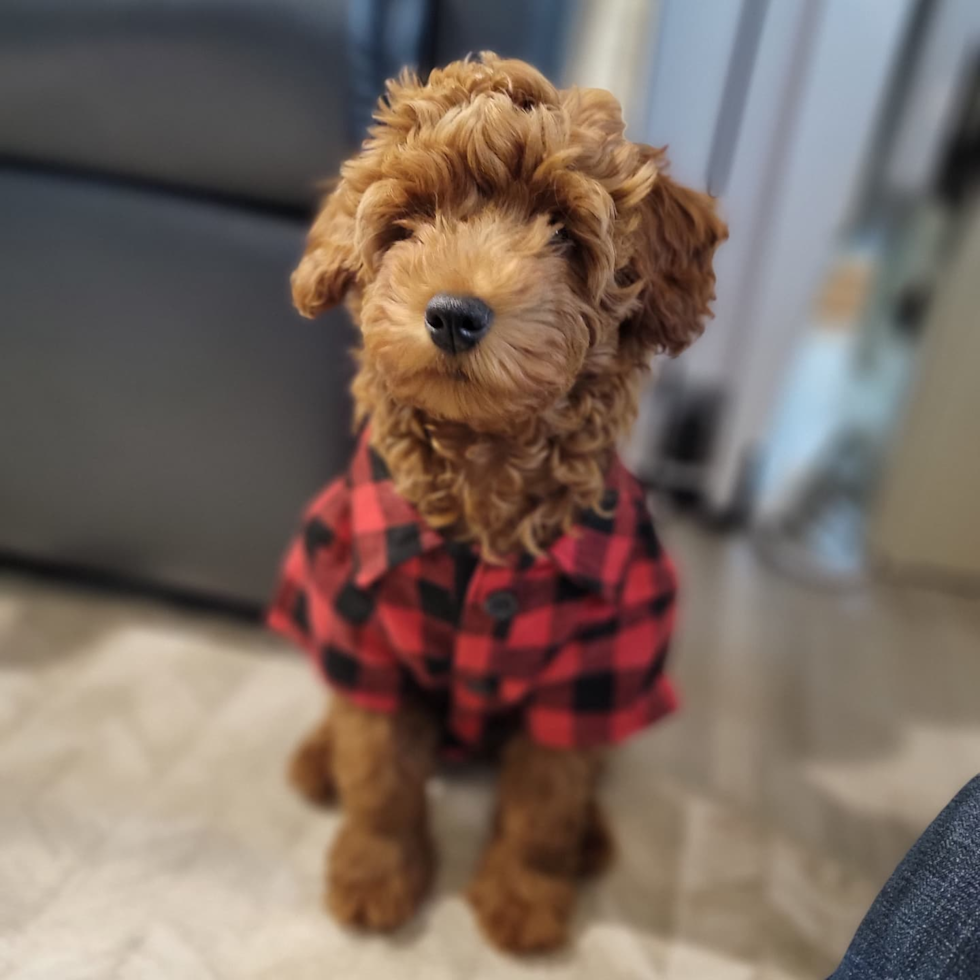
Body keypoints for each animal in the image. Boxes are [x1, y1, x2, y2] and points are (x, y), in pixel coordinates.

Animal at [268, 51, 728, 948]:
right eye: (409, 221)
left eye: (563, 232)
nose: (454, 314)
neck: (483, 480)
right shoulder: (360, 619)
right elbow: (377, 769)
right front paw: (374, 875)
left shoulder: (595, 661)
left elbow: (549, 791)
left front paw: (523, 895)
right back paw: (315, 758)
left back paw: (591, 839)